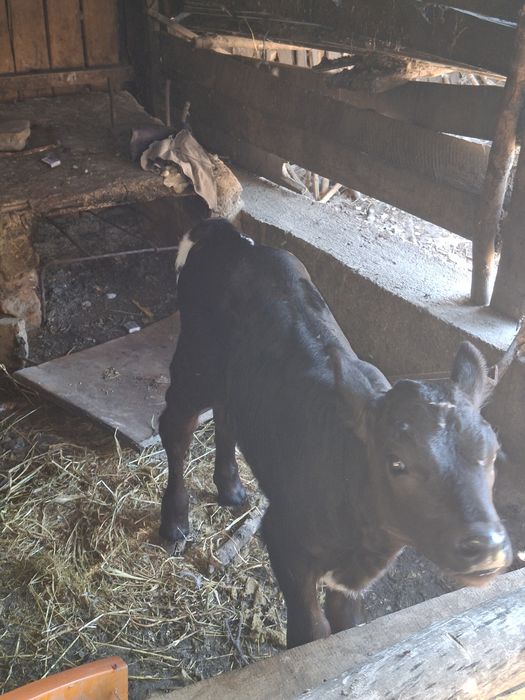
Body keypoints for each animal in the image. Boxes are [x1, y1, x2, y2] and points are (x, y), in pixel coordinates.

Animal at [159, 218, 512, 649]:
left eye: (492, 456)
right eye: (397, 463)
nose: (486, 546)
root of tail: (230, 238)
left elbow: (347, 623)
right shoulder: (284, 537)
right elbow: (311, 632)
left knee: (226, 416)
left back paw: (230, 487)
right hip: (194, 364)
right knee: (176, 428)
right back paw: (175, 519)